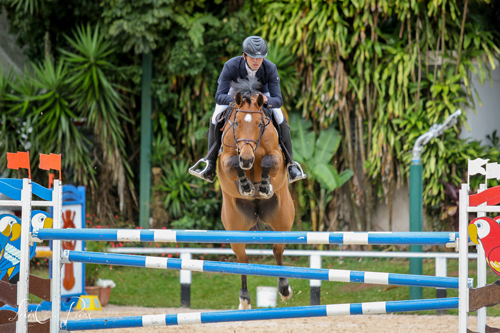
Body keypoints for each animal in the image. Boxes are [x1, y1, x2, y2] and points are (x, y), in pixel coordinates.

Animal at [217, 76, 294, 308]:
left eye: (260, 124)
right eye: (236, 124)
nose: (247, 159)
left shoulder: (277, 157)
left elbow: (269, 160)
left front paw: (263, 186)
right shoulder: (225, 160)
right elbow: (232, 162)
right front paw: (246, 186)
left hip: (282, 222)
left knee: (277, 251)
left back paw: (284, 289)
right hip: (235, 227)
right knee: (243, 260)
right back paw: (244, 299)